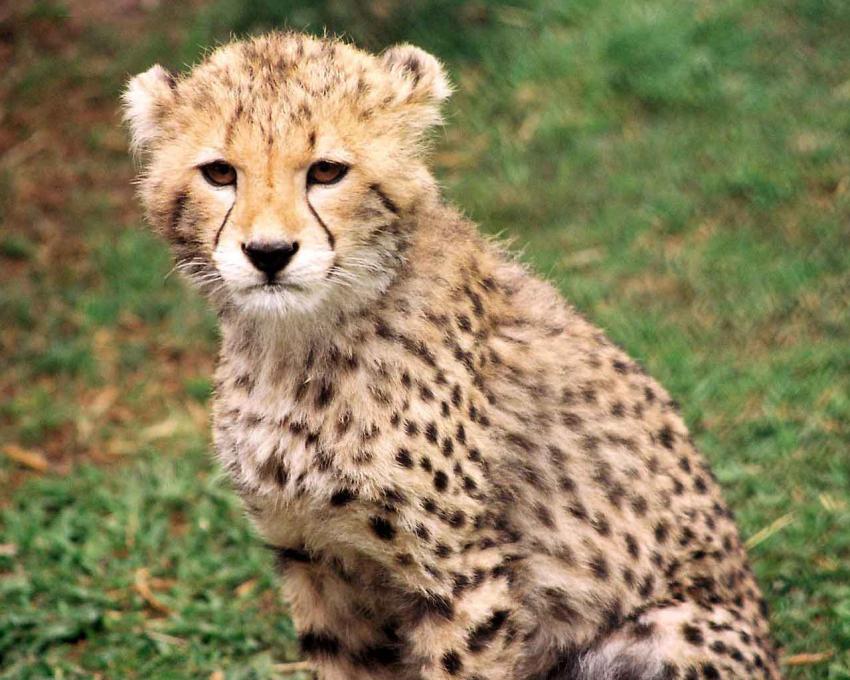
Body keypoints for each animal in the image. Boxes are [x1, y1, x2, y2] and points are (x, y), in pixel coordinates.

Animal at [123, 31, 781, 680]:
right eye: (219, 173)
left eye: (327, 171)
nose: (268, 253)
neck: (297, 344)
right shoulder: (315, 556)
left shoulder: (461, 575)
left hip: (665, 634)